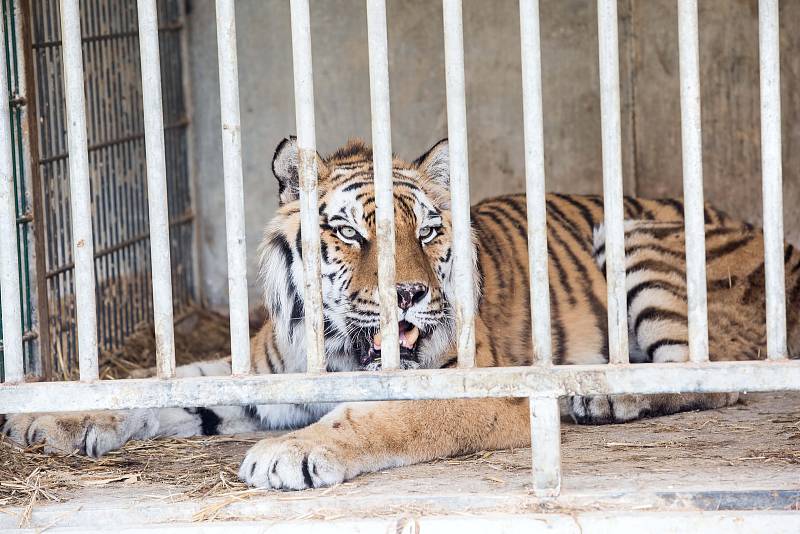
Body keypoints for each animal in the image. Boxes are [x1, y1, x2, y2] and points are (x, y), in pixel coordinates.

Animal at [1, 139, 800, 494]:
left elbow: (380, 417)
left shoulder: (473, 389)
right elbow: (160, 386)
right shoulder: (263, 373)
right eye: (352, 233)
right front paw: (53, 417)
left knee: (707, 374)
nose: (410, 295)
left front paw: (287, 456)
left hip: (634, 240)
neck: (334, 344)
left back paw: (595, 397)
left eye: (429, 231)